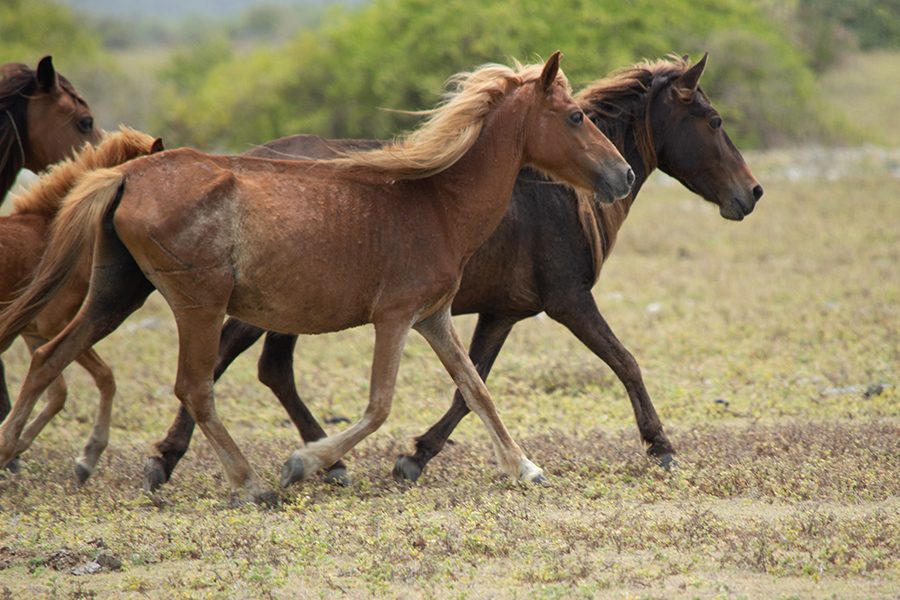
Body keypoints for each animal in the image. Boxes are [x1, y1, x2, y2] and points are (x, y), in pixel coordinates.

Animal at [144, 54, 764, 490]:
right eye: (714, 120)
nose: (752, 193)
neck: (551, 194)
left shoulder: (499, 313)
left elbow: (472, 387)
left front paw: (417, 456)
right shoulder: (569, 302)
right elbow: (625, 363)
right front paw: (661, 447)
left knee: (267, 370)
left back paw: (318, 461)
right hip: (261, 307)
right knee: (219, 366)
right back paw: (175, 461)